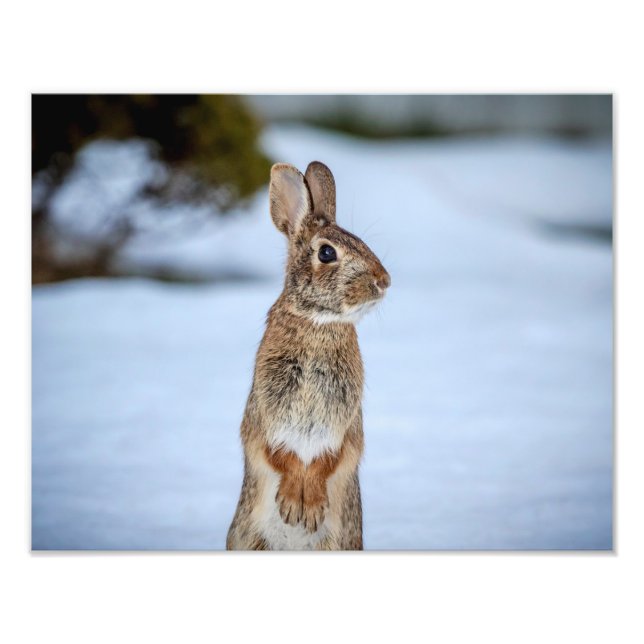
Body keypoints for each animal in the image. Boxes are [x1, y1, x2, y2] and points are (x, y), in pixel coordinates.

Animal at [226, 161, 390, 550]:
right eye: (327, 253)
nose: (384, 281)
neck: (318, 321)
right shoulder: (264, 413)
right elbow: (279, 455)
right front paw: (292, 505)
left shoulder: (345, 424)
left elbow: (329, 460)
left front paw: (308, 508)